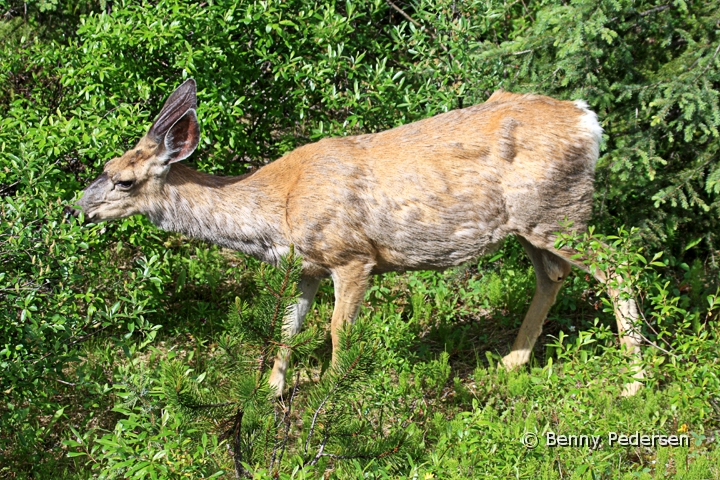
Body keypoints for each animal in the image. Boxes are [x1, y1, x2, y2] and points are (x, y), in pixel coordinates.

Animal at [73, 78, 644, 394]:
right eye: (103, 166)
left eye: (123, 180)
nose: (77, 208)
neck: (278, 207)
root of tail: (588, 120)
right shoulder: (305, 267)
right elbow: (288, 328)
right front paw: (273, 389)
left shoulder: (352, 256)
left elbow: (336, 331)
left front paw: (331, 388)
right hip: (533, 223)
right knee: (553, 275)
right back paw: (511, 361)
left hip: (559, 211)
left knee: (619, 266)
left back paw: (635, 382)